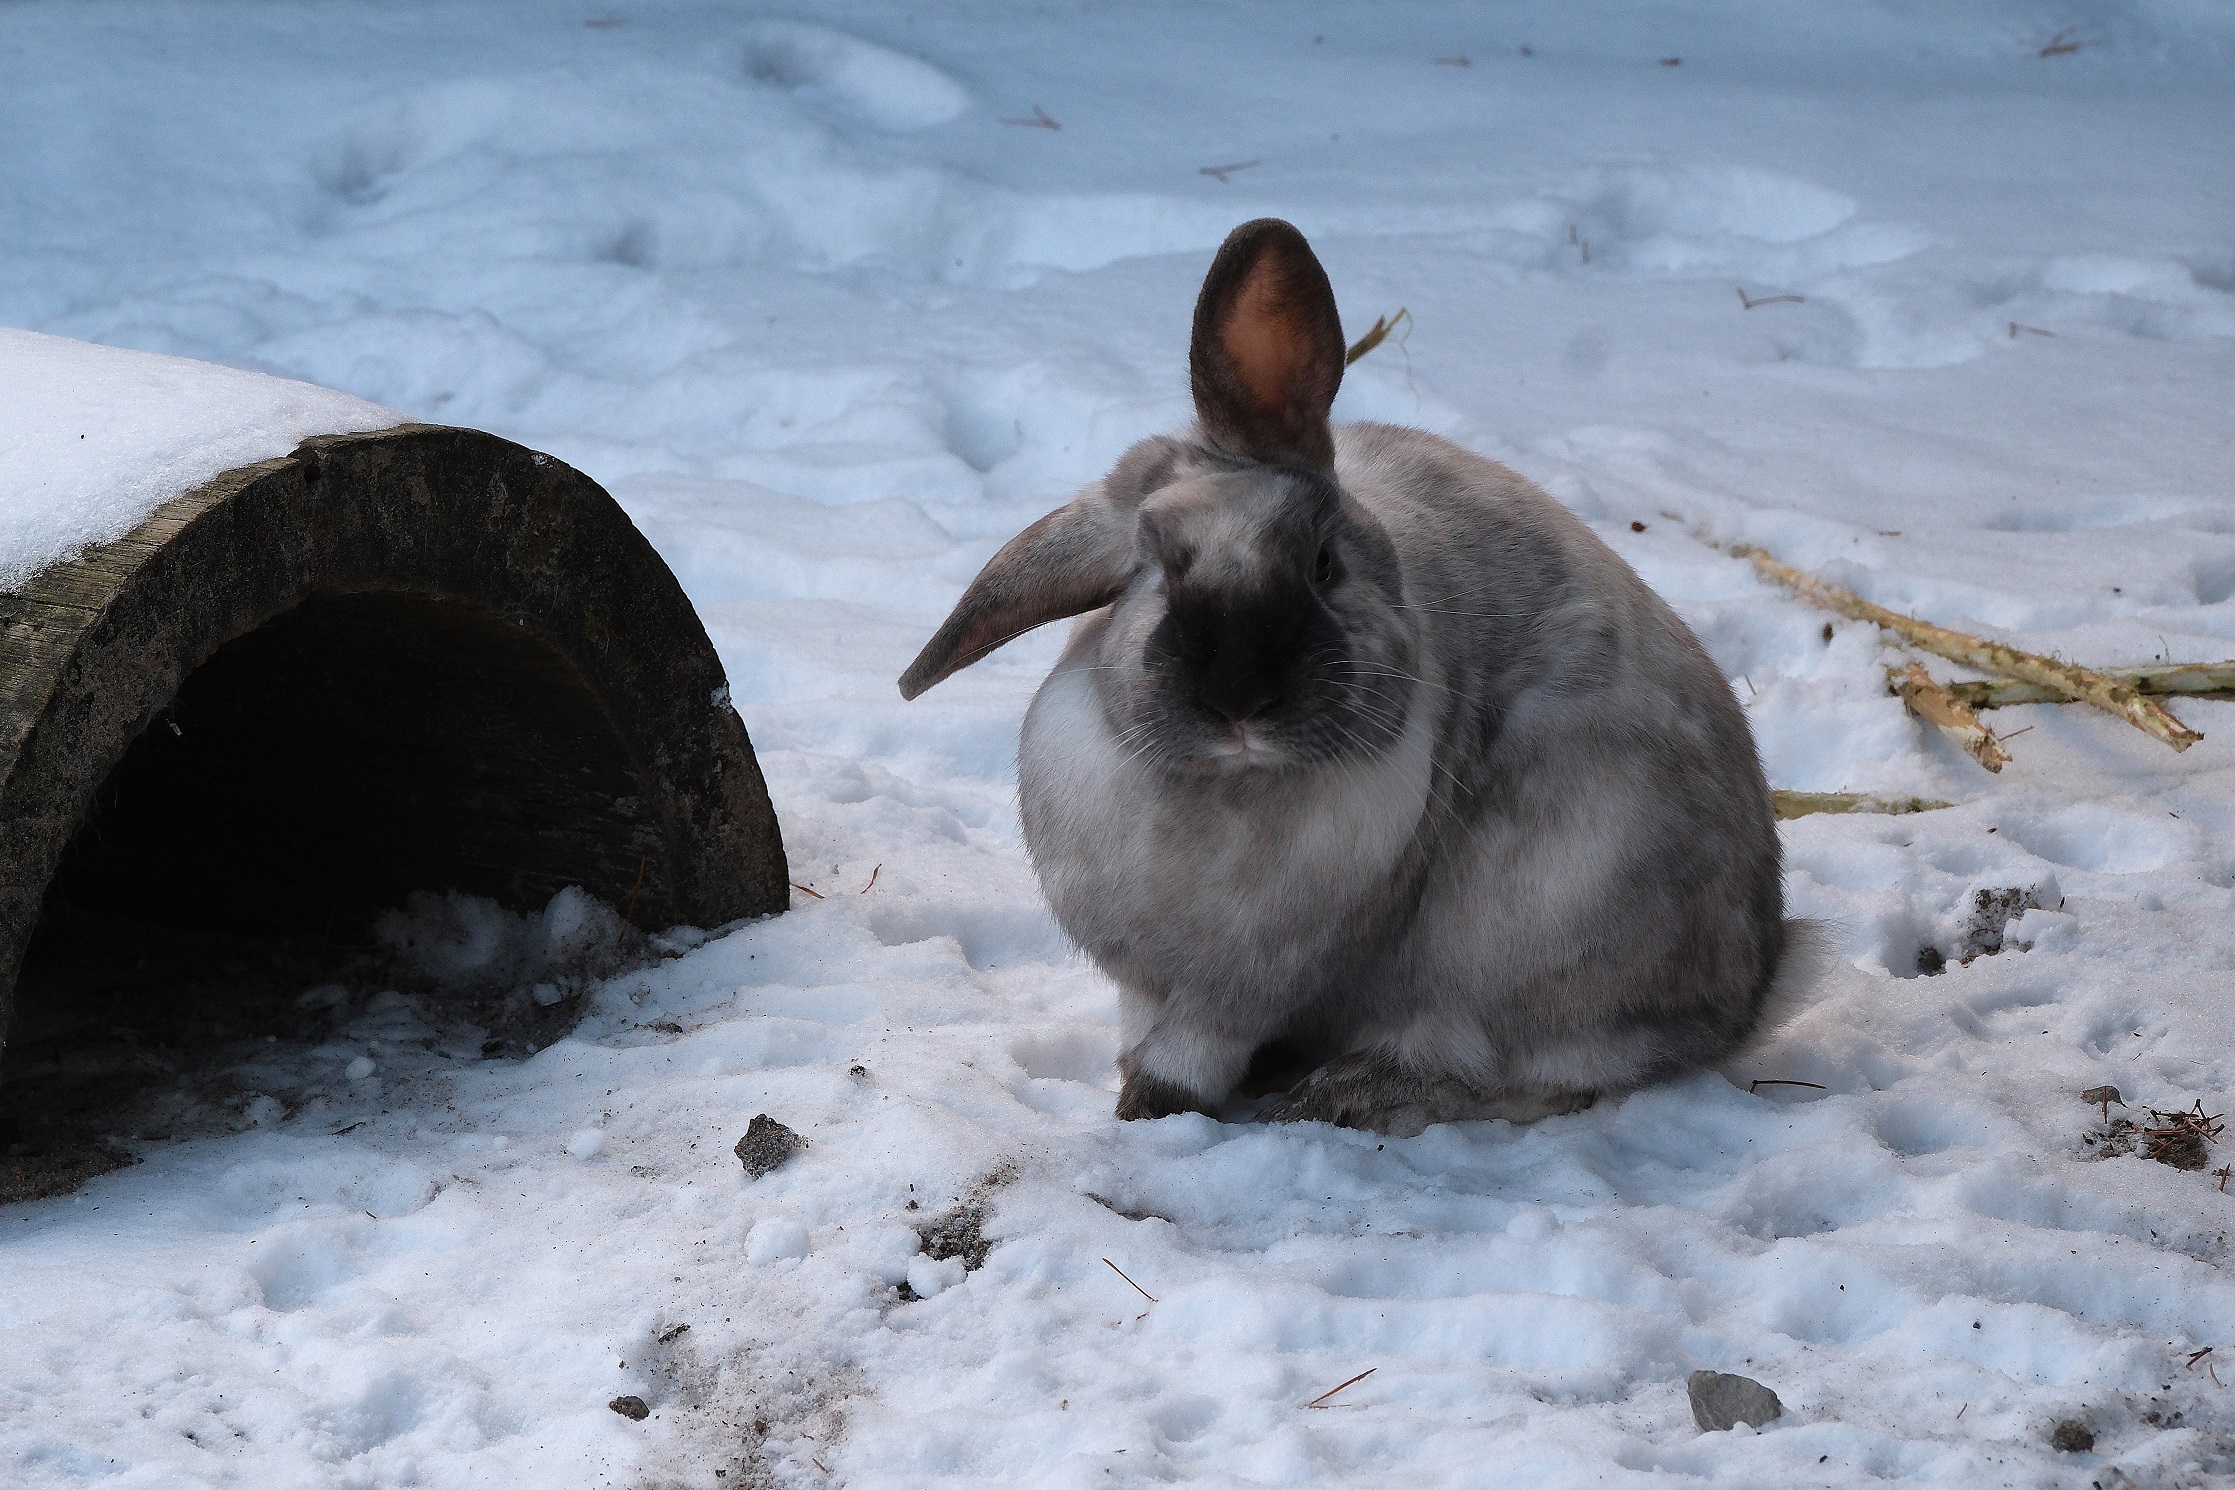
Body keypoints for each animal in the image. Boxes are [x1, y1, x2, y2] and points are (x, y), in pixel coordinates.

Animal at [898, 218, 1806, 1136]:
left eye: (1322, 563)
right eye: (1151, 568)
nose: (1239, 697)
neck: (1229, 788)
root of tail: (1752, 982)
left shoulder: (1243, 989)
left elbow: (1192, 1053)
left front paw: (1152, 1110)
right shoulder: (1144, 982)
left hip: (1537, 926)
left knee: (1528, 1070)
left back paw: (1345, 1093)